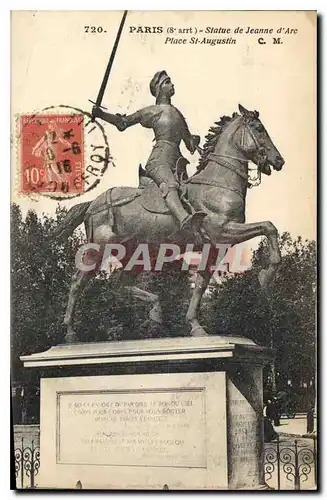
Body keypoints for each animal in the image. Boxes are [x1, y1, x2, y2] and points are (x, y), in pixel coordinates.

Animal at [54, 103, 284, 342]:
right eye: (258, 128)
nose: (279, 161)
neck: (217, 183)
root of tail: (93, 203)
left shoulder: (216, 247)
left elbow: (201, 284)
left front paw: (195, 325)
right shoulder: (223, 231)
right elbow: (268, 226)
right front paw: (266, 277)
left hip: (135, 255)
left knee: (119, 284)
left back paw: (155, 313)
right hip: (97, 250)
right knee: (77, 283)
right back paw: (70, 333)